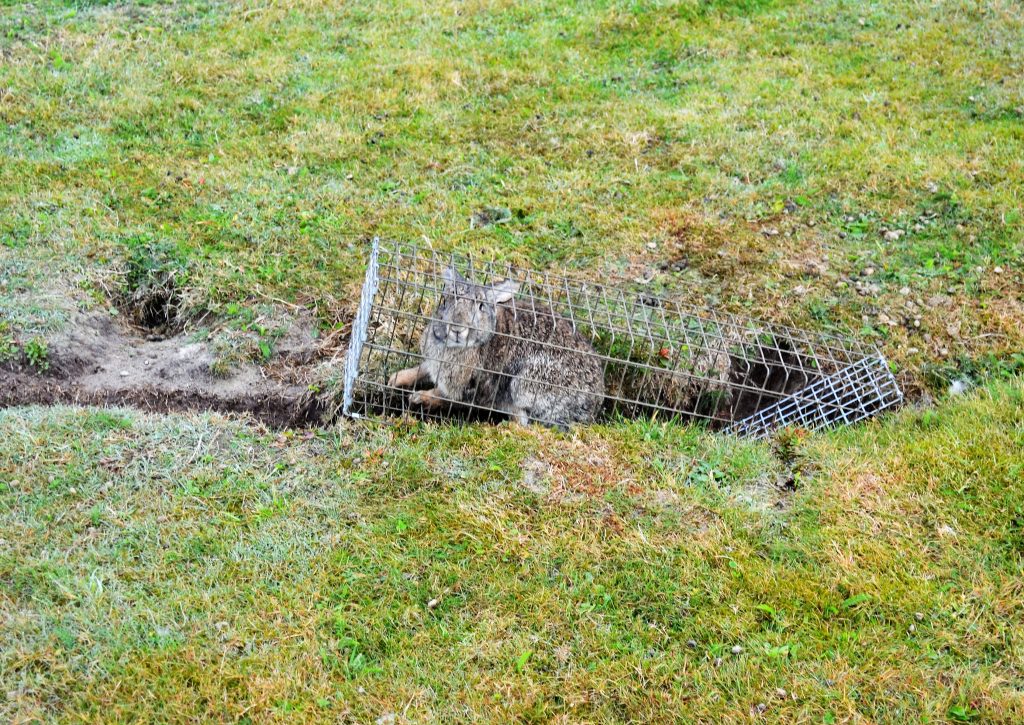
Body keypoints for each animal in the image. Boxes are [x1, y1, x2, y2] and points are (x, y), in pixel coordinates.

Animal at [387, 266, 602, 428]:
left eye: (481, 306)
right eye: (445, 301)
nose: (457, 328)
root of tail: (594, 404)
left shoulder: (470, 387)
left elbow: (446, 396)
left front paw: (419, 397)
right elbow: (421, 369)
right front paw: (395, 379)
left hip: (525, 384)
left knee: (523, 419)